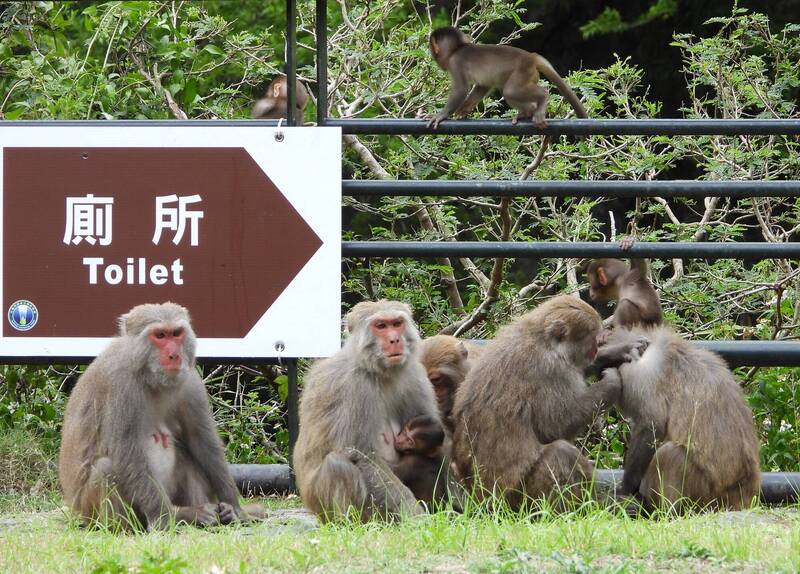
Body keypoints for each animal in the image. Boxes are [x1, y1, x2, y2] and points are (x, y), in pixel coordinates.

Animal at [62, 304, 262, 532]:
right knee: (106, 469)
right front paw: (167, 518)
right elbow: (127, 452)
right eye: (160, 335)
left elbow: (202, 442)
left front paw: (235, 509)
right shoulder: (120, 385)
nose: (174, 355)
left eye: (176, 333)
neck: (149, 376)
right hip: (91, 511)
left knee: (188, 457)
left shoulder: (190, 380)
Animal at [296, 304, 440, 524]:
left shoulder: (414, 375)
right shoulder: (354, 387)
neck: (377, 371)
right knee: (338, 465)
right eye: (380, 326)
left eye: (397, 323)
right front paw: (415, 517)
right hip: (325, 507)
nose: (395, 339)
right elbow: (361, 455)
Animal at [424, 26, 588, 129]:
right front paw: (464, 108)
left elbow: (461, 89)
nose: (431, 53)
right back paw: (526, 112)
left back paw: (541, 98)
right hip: (530, 74)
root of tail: (532, 56)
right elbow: (482, 86)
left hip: (523, 71)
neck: (457, 49)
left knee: (511, 92)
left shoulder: (455, 63)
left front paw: (441, 115)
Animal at [454, 294, 640, 510]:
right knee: (560, 452)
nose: (595, 349)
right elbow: (555, 426)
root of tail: (481, 501)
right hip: (519, 499)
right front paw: (612, 381)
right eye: (591, 338)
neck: (544, 340)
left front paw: (618, 351)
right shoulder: (549, 369)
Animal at [604, 328, 760, 512]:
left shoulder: (639, 373)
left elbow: (652, 425)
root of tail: (741, 498)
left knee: (669, 454)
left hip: (705, 496)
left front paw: (625, 490)